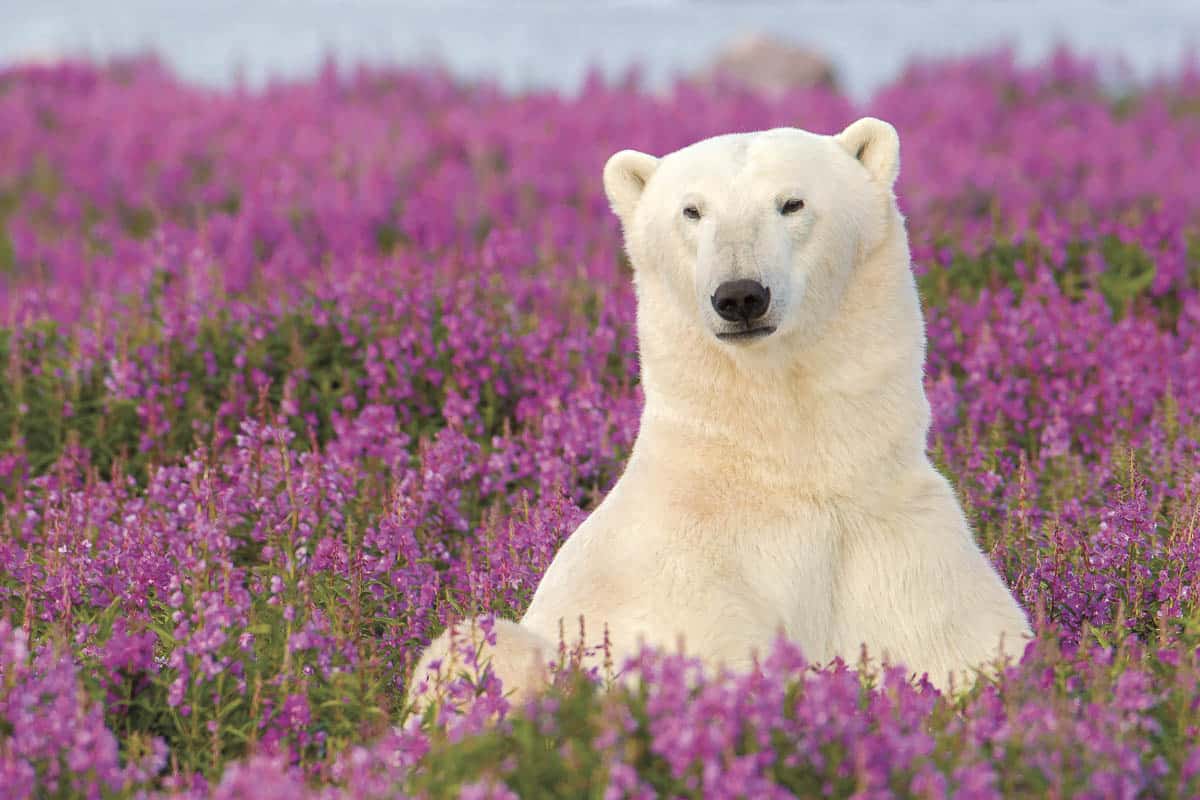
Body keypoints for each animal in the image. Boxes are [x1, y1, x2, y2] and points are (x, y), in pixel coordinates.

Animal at [412, 118, 1032, 705]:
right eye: (692, 210)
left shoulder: (904, 555)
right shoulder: (675, 587)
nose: (739, 295)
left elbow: (970, 653)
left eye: (792, 202)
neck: (783, 474)